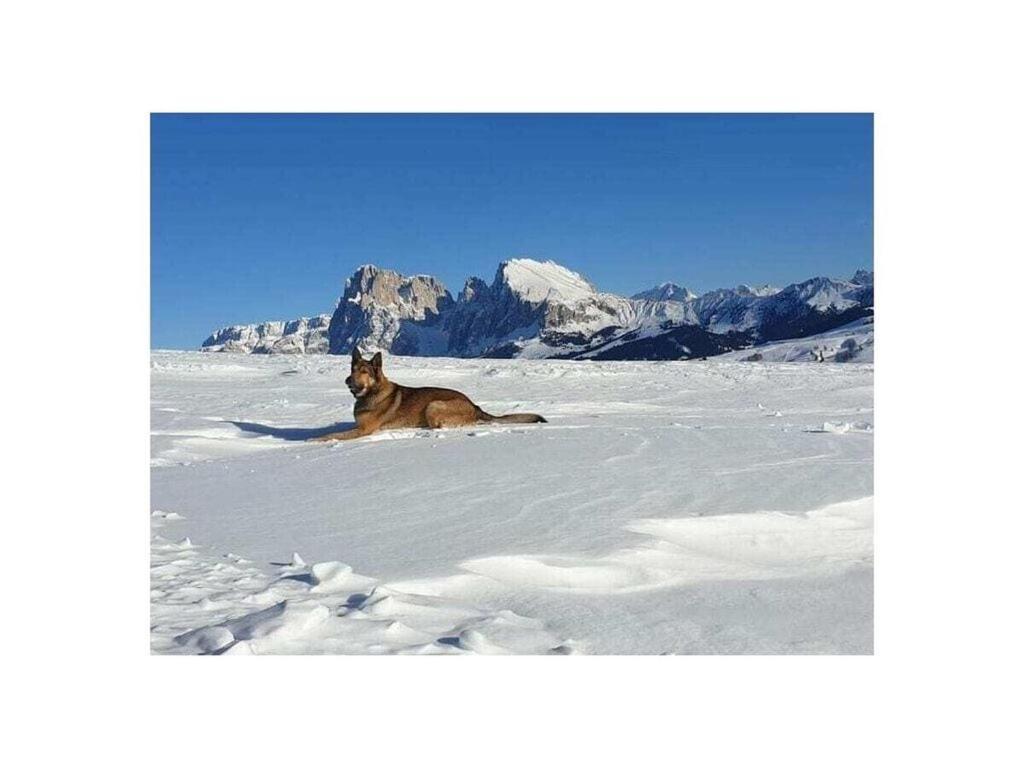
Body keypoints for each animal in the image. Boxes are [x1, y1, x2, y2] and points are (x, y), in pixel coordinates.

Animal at [309, 350, 544, 444]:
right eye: (352, 369)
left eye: (364, 372)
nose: (347, 381)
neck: (371, 393)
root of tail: (474, 405)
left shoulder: (364, 429)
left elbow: (334, 435)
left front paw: (313, 439)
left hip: (433, 405)